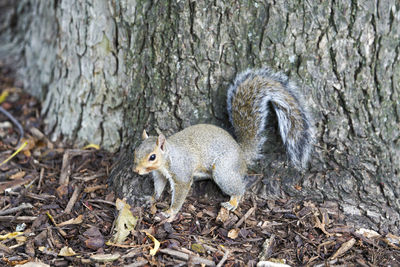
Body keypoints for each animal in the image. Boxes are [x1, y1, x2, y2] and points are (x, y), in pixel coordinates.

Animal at [133, 67, 314, 220]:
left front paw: (170, 211)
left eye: (152, 157)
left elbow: (180, 193)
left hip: (223, 171)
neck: (167, 159)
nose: (136, 170)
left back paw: (233, 202)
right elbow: (158, 186)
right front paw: (152, 198)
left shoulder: (181, 172)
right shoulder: (160, 174)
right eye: (135, 151)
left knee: (239, 188)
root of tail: (241, 154)